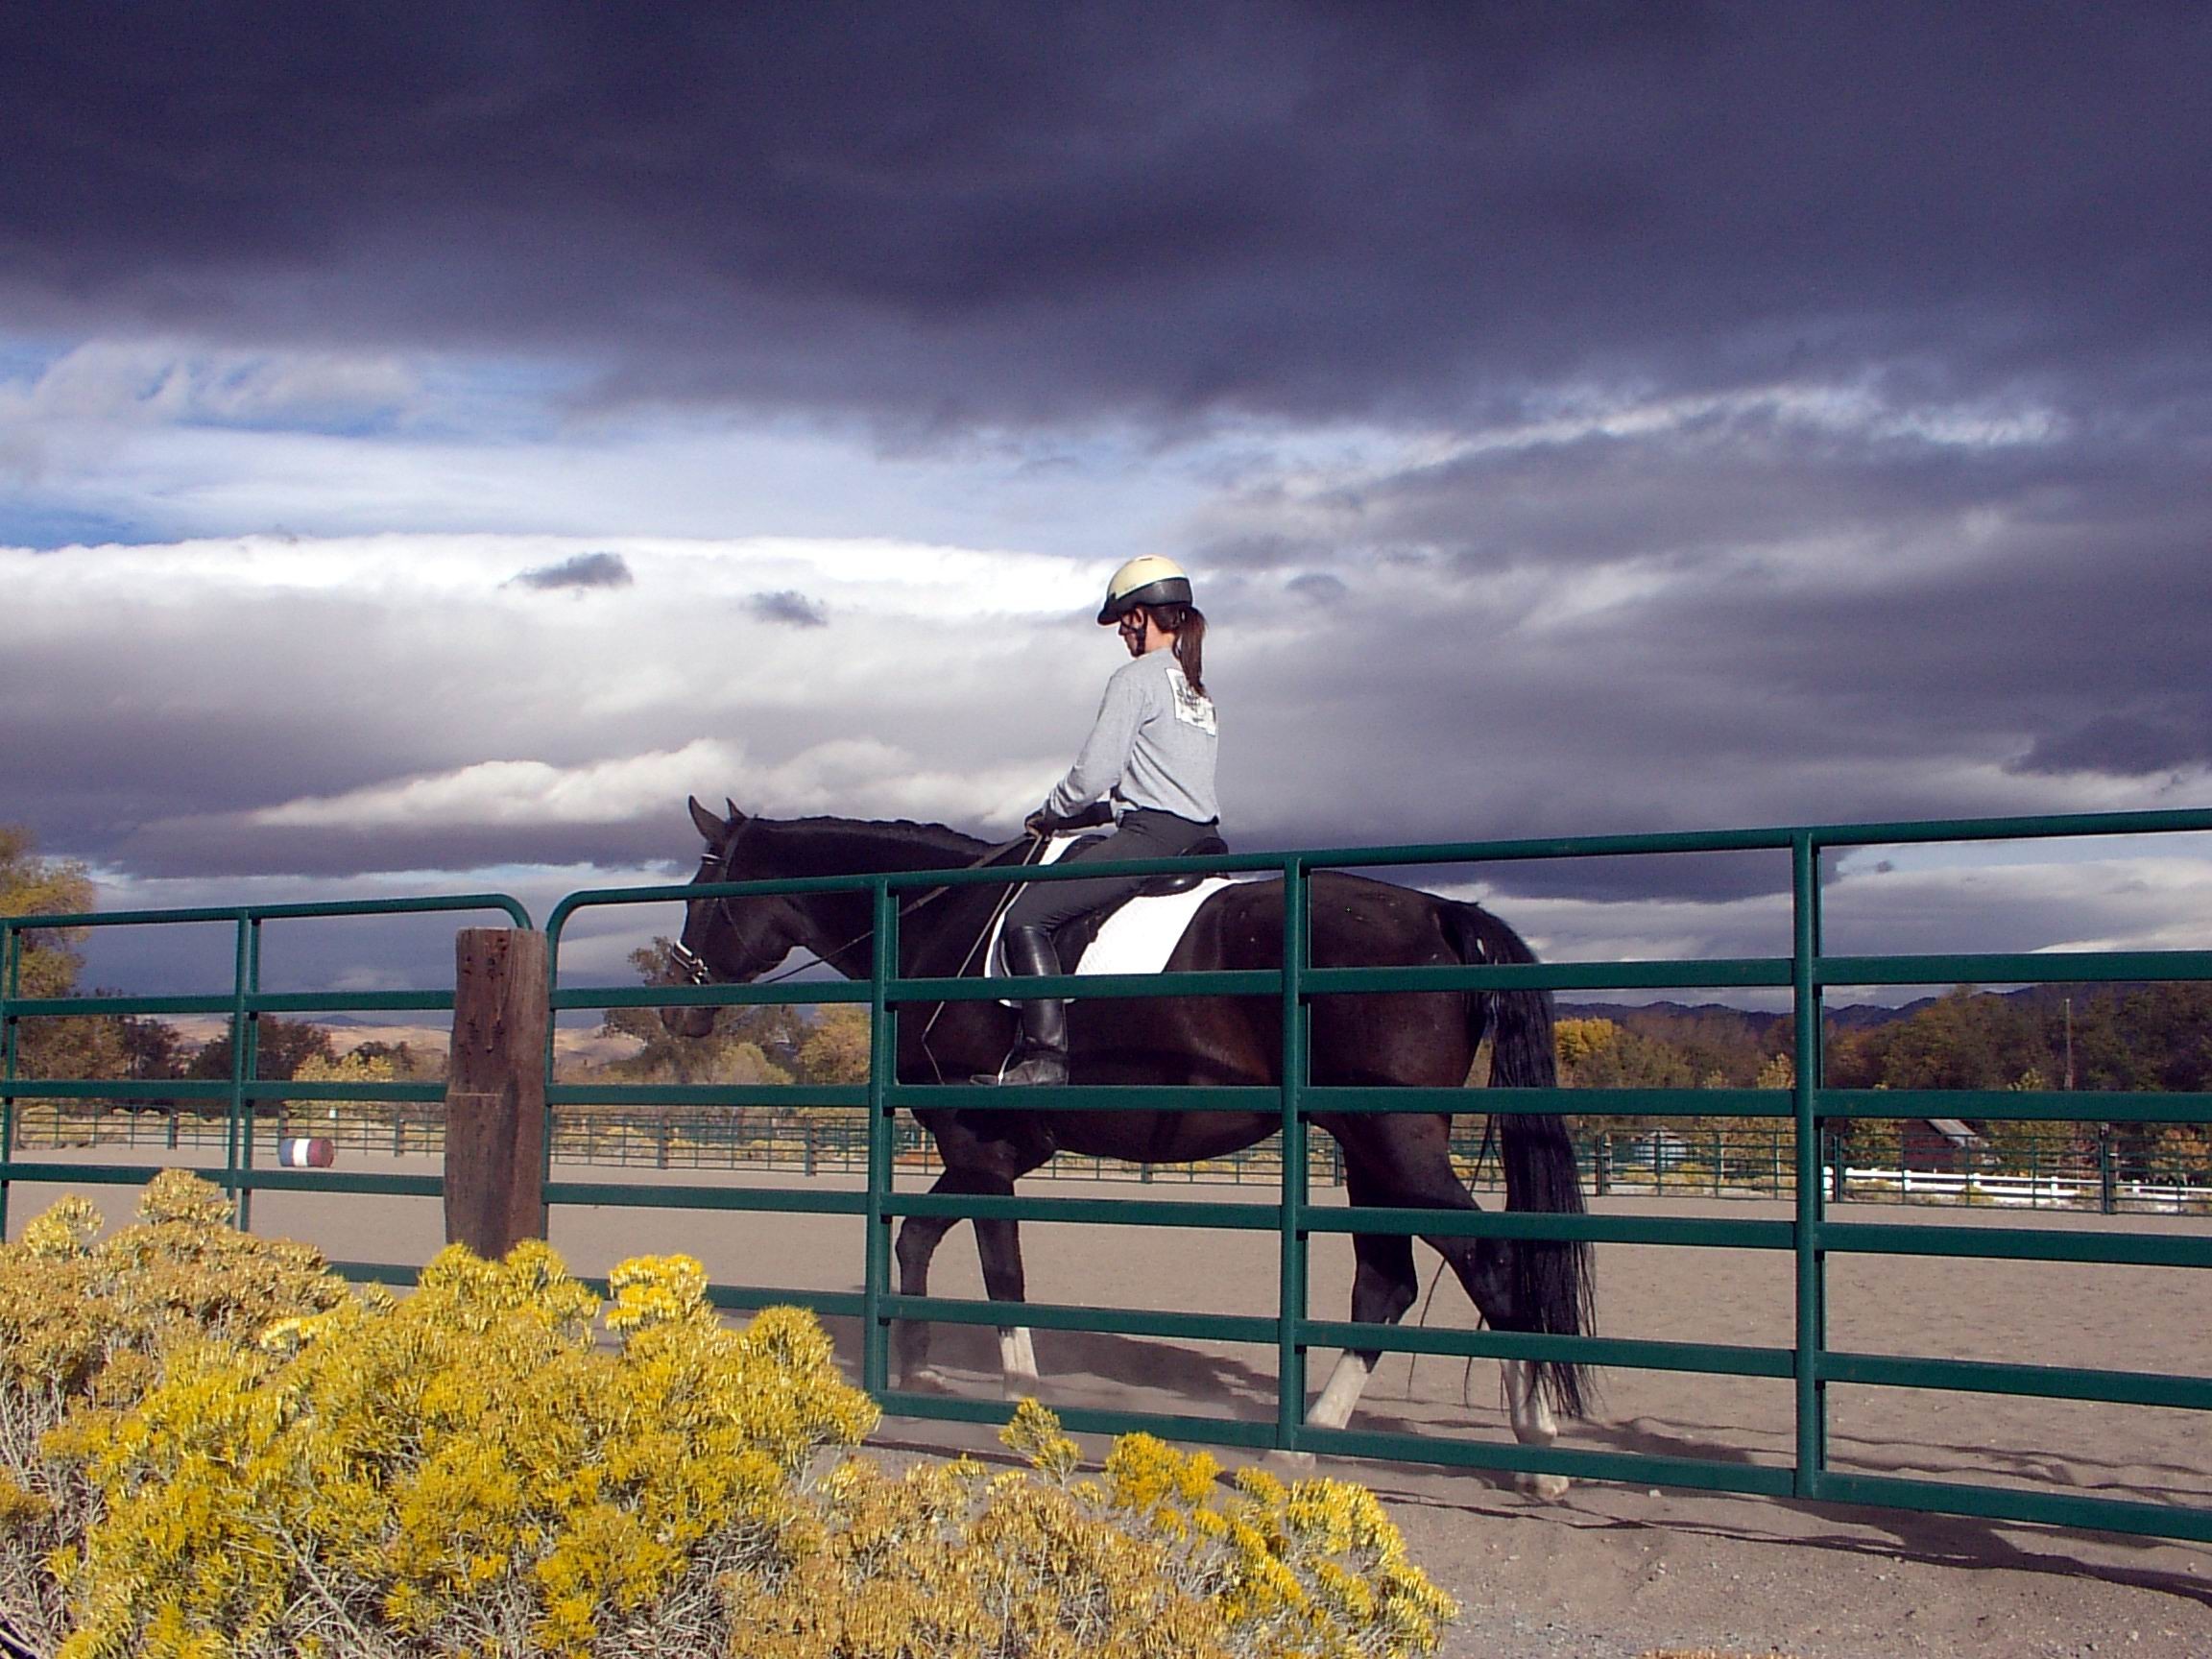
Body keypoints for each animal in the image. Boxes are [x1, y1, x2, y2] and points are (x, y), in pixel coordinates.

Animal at [663, 801, 1601, 1486]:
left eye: (703, 892)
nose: (677, 1008)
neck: (937, 924)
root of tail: (1443, 914)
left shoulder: (977, 1142)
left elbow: (1002, 1271)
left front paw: (1018, 1398)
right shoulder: (990, 1149)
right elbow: (919, 1237)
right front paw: (917, 1371)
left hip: (1395, 1141)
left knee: (1489, 1261)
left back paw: (1539, 1451)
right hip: (1371, 1147)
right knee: (1388, 1282)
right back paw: (1307, 1437)